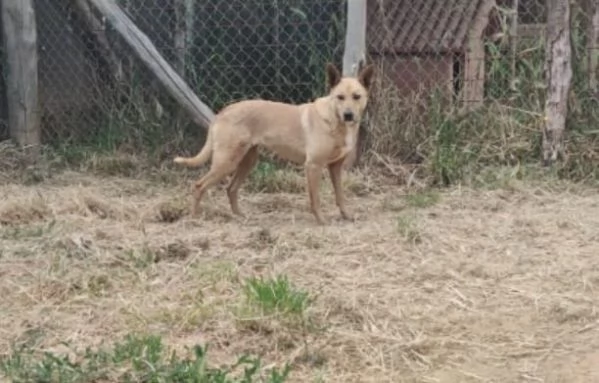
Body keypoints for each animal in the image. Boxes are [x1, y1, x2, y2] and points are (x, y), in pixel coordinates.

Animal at [171, 62, 376, 225]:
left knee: (231, 189)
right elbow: (315, 199)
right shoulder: (313, 166)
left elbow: (340, 196)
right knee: (199, 186)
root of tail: (223, 111)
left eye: (357, 96)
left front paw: (346, 215)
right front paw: (321, 220)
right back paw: (194, 219)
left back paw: (241, 216)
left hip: (247, 161)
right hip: (226, 162)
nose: (348, 115)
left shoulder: (335, 167)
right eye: (340, 97)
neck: (334, 119)